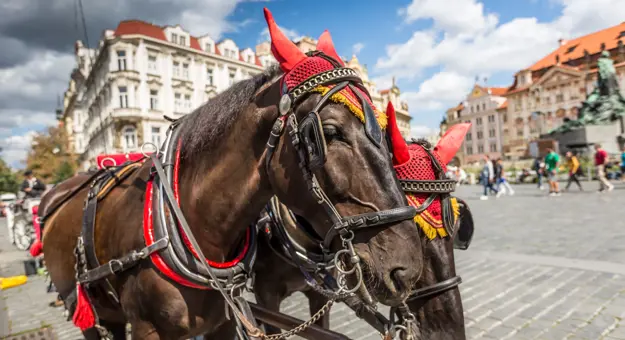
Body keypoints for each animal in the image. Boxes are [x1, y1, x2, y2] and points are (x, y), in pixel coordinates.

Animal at [40, 8, 424, 340]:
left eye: (385, 129)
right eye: (329, 132)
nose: (408, 268)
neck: (197, 226)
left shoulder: (232, 320)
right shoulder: (252, 300)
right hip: (94, 317)